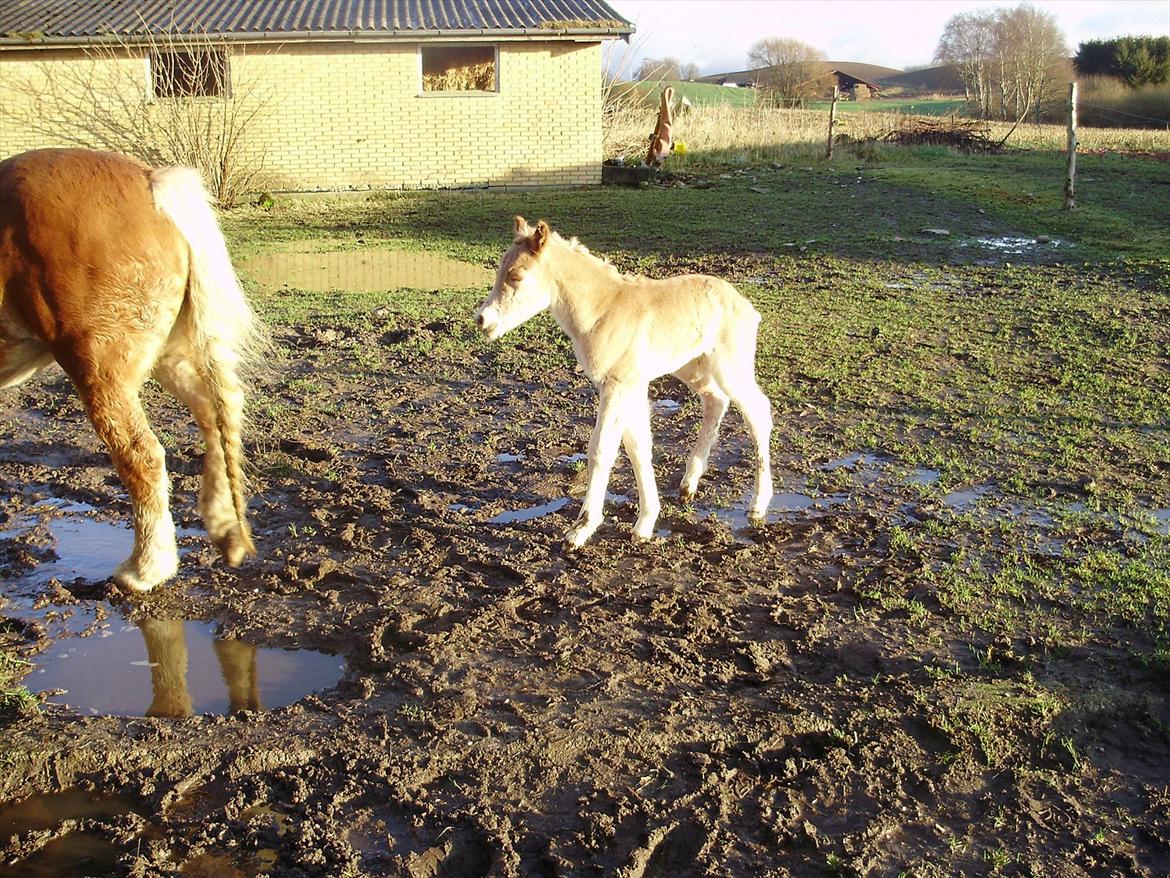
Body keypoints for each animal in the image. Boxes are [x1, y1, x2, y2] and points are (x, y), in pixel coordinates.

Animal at [0, 149, 260, 592]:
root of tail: (148, 181)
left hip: (100, 368)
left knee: (143, 457)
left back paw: (146, 569)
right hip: (168, 349)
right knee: (217, 413)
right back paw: (225, 529)